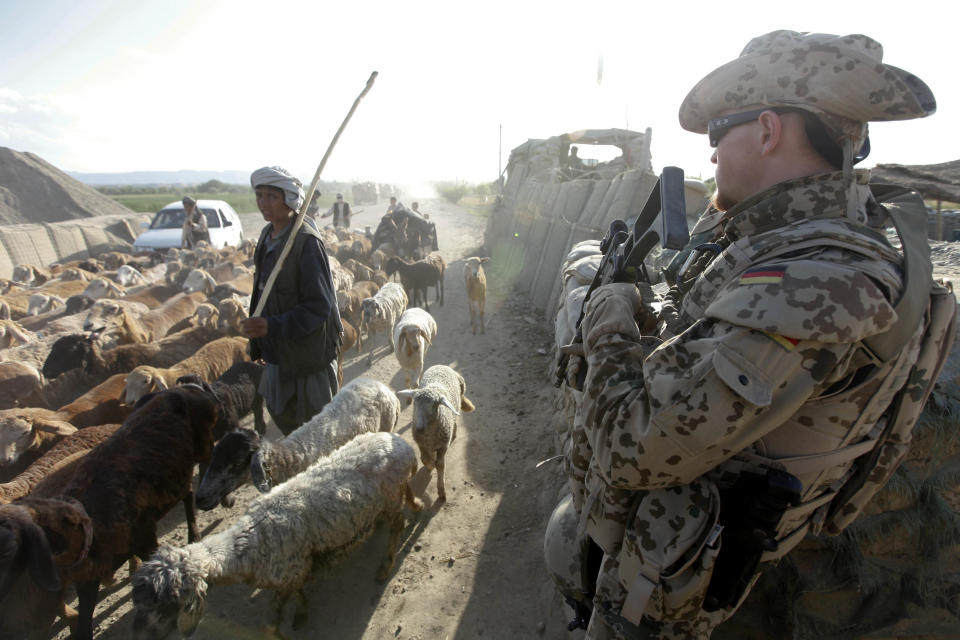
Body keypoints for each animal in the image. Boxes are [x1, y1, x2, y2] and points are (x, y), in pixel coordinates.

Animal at [30, 384, 221, 640]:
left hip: (203, 443)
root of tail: (187, 388)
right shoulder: (88, 578)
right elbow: (85, 620)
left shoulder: (145, 538)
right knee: (187, 492)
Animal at [132, 430, 424, 636]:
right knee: (407, 494)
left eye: (165, 605)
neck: (248, 545)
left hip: (389, 498)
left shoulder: (288, 572)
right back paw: (418, 506)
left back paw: (386, 565)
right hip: (393, 491)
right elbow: (297, 596)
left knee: (397, 527)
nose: (139, 637)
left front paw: (293, 623)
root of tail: (404, 447)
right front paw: (301, 614)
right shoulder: (293, 574)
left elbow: (271, 624)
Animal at [396, 364, 474, 504]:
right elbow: (425, 459)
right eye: (415, 403)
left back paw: (454, 433)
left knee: (455, 420)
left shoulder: (443, 446)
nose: (419, 428)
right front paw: (429, 464)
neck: (430, 435)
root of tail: (442, 365)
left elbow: (440, 465)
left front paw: (441, 491)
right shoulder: (421, 444)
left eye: (434, 406)